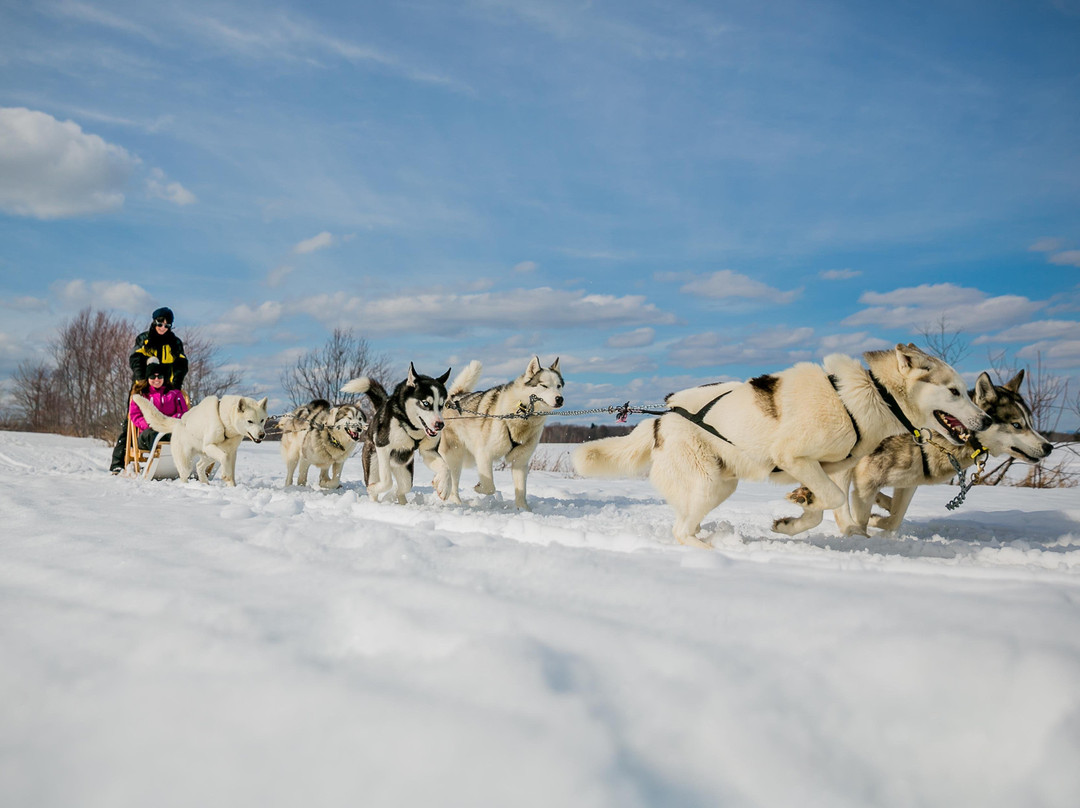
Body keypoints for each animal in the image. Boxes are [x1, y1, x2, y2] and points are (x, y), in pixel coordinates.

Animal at [132, 393, 267, 486]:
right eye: (250, 421)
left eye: (262, 420)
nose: (262, 435)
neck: (224, 420)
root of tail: (178, 422)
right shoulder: (211, 447)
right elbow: (224, 459)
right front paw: (225, 475)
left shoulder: (232, 452)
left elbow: (231, 470)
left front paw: (232, 487)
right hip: (189, 461)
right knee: (184, 474)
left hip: (209, 455)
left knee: (199, 466)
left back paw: (204, 482)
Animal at [341, 362, 451, 501]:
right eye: (426, 403)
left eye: (441, 405)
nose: (440, 425)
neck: (410, 425)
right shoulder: (383, 447)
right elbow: (387, 481)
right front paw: (374, 488)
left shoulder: (429, 451)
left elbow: (446, 467)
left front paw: (444, 487)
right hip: (373, 464)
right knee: (378, 485)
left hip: (405, 470)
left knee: (404, 487)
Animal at [434, 354, 565, 507]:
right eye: (544, 385)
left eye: (558, 386)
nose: (559, 399)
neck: (521, 416)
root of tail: (454, 397)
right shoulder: (484, 454)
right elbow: (490, 487)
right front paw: (479, 488)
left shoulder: (520, 462)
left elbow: (521, 491)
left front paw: (524, 510)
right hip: (455, 455)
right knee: (453, 481)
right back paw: (455, 500)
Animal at [574, 343, 989, 546]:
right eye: (954, 392)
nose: (985, 420)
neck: (867, 394)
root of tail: (661, 419)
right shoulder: (793, 457)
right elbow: (832, 501)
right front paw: (804, 507)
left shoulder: (831, 468)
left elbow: (825, 508)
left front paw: (793, 521)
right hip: (707, 483)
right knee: (680, 532)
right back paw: (714, 555)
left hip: (720, 485)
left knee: (685, 524)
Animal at [829, 367, 1049, 535]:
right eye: (1017, 425)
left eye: (1030, 423)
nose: (1048, 447)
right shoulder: (867, 479)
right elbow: (866, 517)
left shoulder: (908, 483)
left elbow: (895, 519)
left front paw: (879, 517)